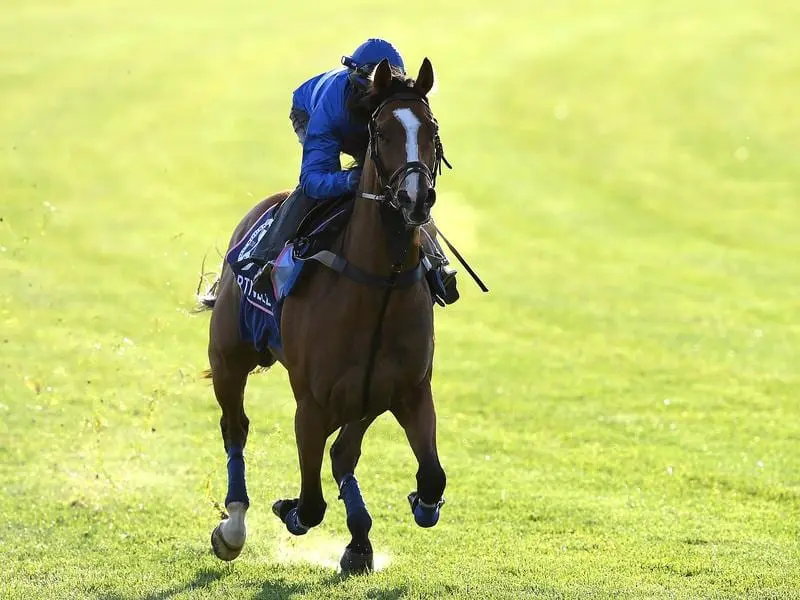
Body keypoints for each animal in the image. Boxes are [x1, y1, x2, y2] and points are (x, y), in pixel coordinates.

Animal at [200, 58, 446, 576]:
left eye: (431, 130)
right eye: (382, 131)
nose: (416, 198)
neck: (378, 286)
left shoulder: (407, 390)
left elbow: (431, 476)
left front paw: (415, 505)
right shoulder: (311, 404)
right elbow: (310, 505)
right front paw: (287, 508)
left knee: (343, 454)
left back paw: (359, 540)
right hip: (228, 356)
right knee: (236, 427)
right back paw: (233, 526)